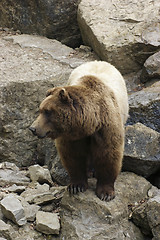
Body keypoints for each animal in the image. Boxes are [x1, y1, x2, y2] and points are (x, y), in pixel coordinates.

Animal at [29, 61, 128, 202]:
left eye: (48, 112)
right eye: (40, 109)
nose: (33, 128)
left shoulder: (106, 126)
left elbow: (109, 154)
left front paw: (106, 193)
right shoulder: (71, 136)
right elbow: (73, 156)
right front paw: (76, 186)